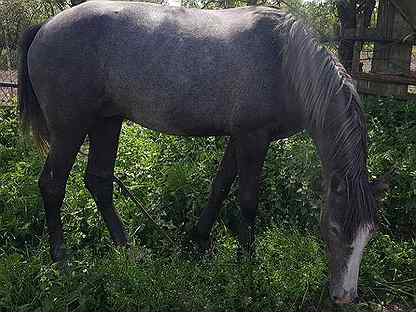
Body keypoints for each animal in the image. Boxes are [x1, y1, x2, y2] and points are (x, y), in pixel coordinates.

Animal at [17, 0, 386, 304]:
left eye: (369, 233)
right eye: (335, 228)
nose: (345, 297)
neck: (285, 61)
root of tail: (45, 28)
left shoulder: (239, 137)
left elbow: (219, 187)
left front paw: (197, 242)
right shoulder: (253, 138)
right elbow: (247, 200)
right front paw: (246, 264)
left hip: (107, 122)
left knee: (99, 182)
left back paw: (128, 252)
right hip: (71, 128)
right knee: (52, 185)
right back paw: (62, 262)